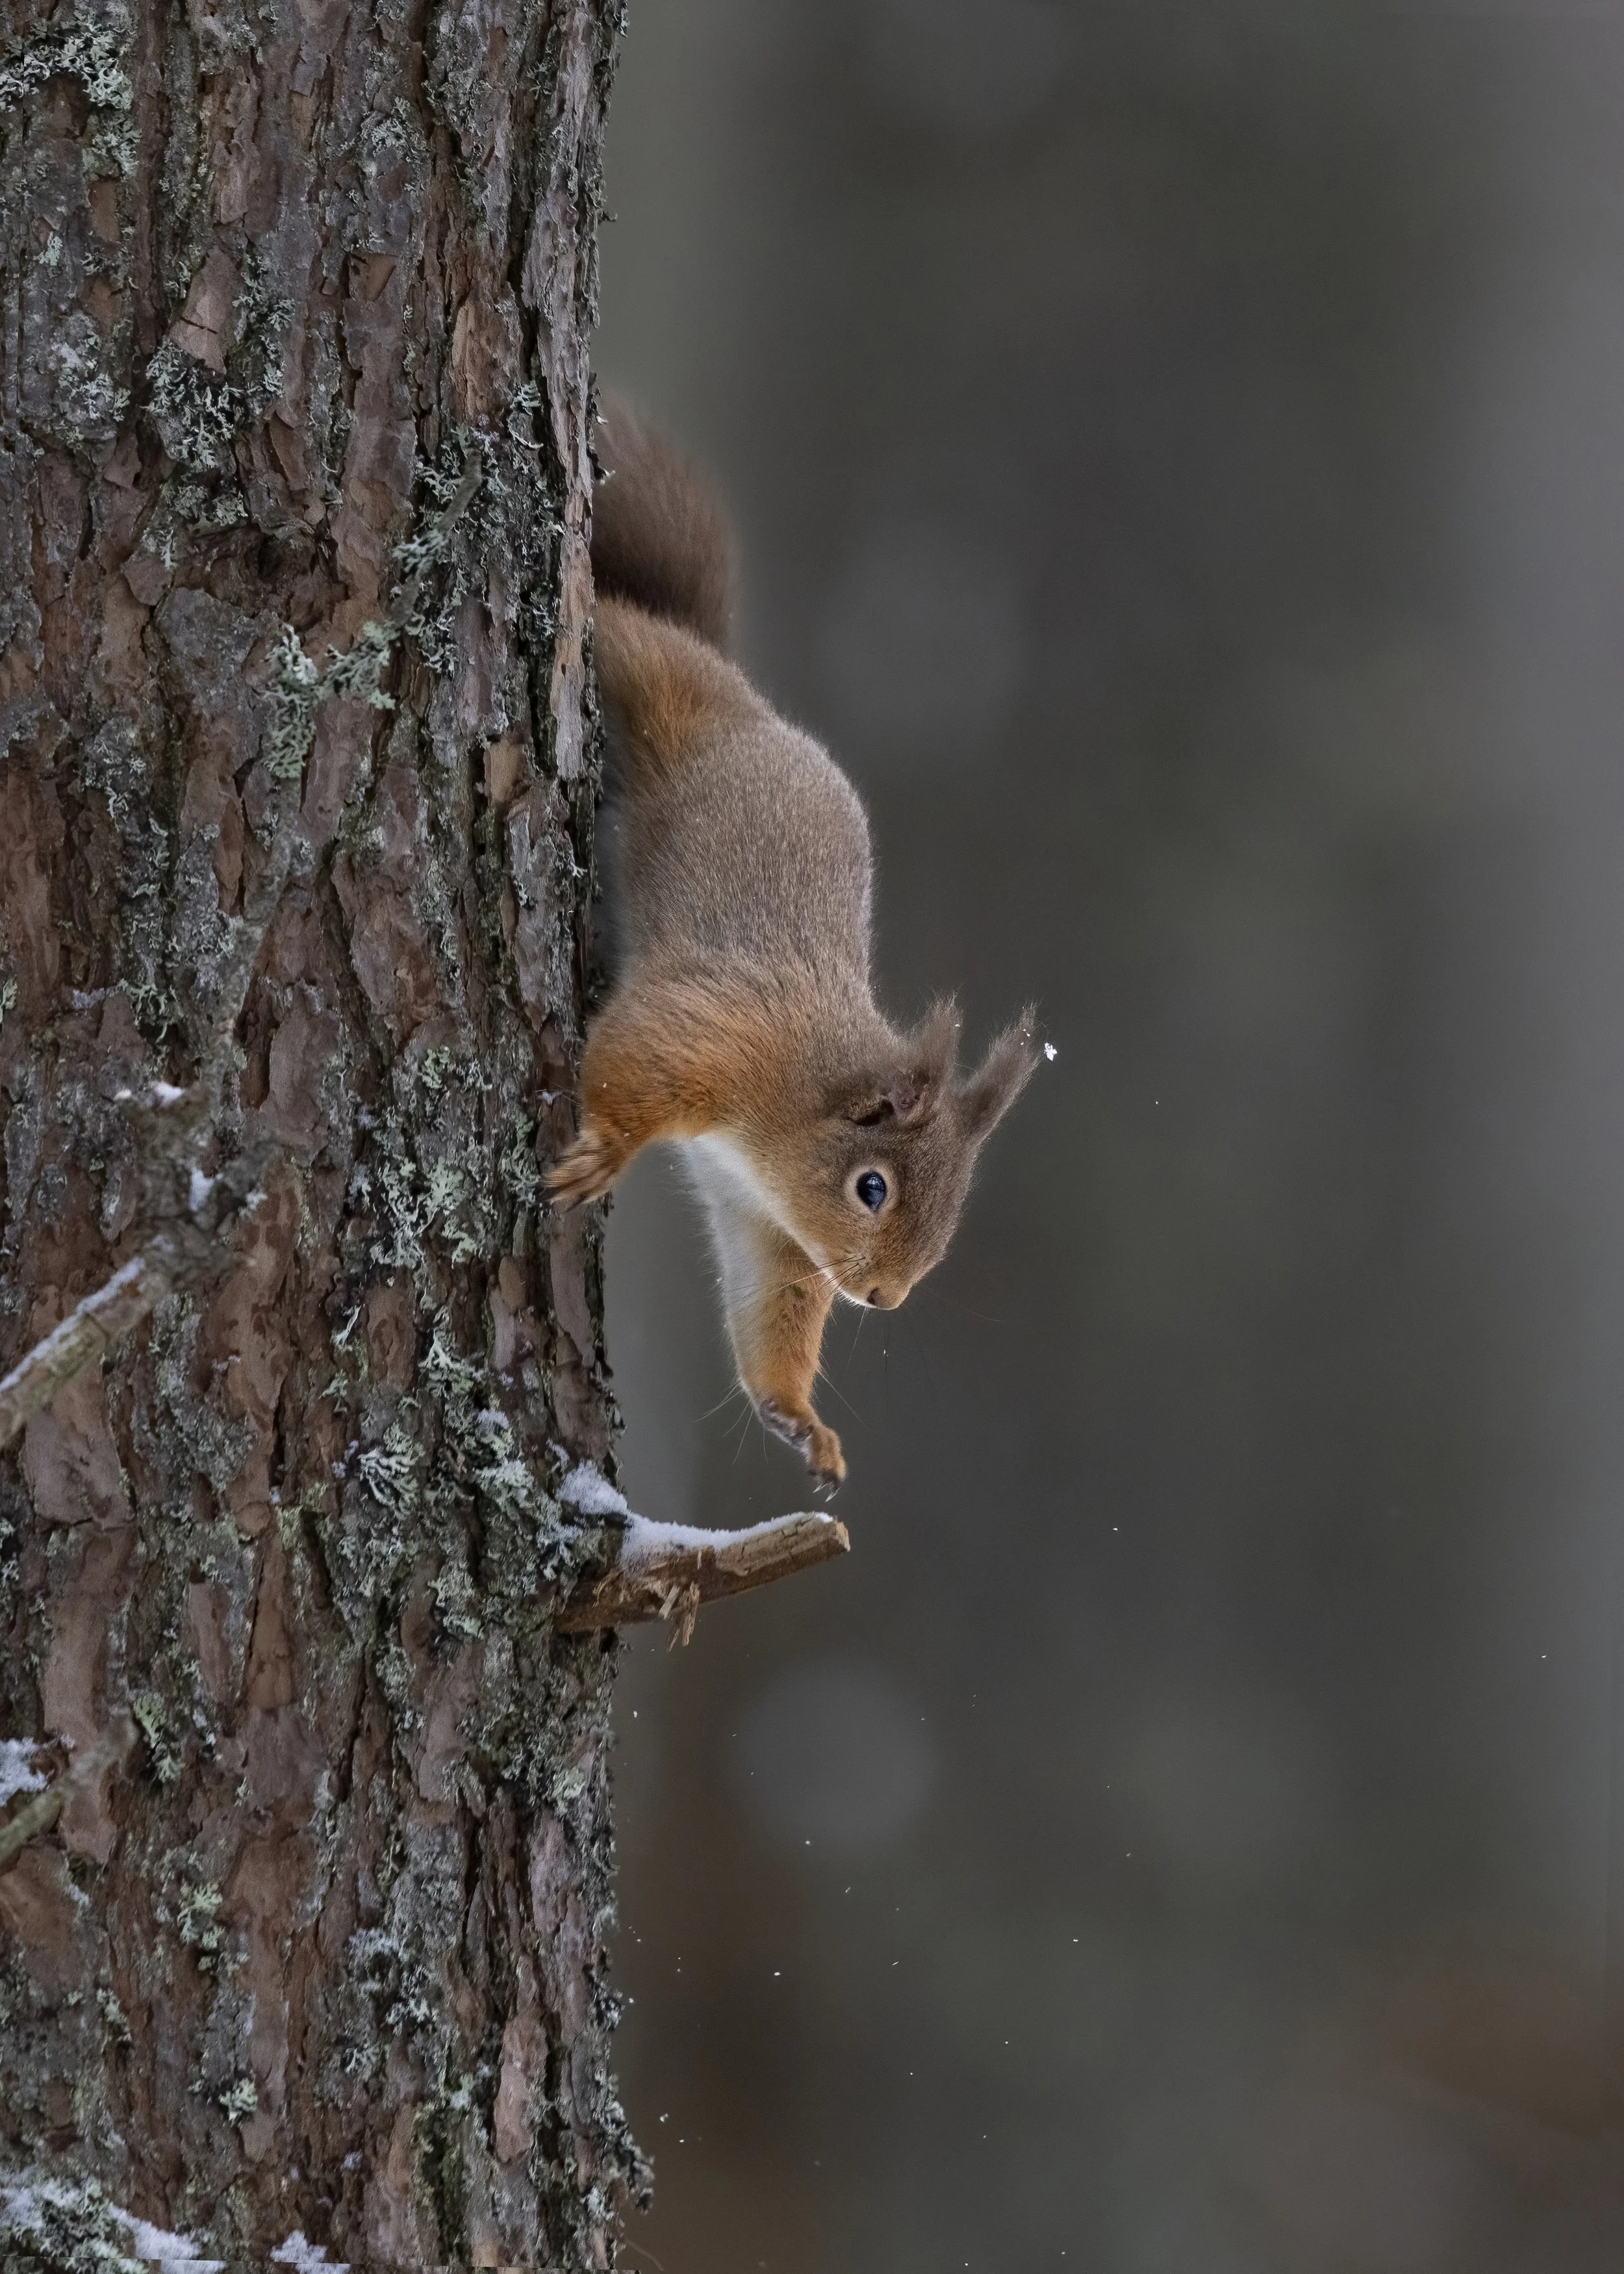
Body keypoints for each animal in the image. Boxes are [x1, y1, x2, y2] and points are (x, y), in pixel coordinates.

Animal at [548, 401, 1039, 1492]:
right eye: (873, 1188)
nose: (885, 1297)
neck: (787, 1110)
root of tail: (747, 696)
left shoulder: (766, 1227)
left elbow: (770, 1308)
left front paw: (799, 1420)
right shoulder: (721, 1034)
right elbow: (634, 1056)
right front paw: (603, 1148)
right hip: (657, 681)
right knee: (629, 638)